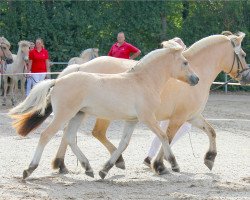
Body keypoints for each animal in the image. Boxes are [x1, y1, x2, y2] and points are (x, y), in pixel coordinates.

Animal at [8, 41, 198, 179]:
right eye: (185, 62)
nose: (196, 79)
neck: (143, 81)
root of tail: (58, 81)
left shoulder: (132, 121)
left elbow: (123, 144)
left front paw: (105, 169)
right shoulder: (148, 118)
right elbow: (164, 136)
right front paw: (172, 165)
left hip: (78, 114)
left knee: (70, 137)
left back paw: (88, 168)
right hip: (64, 114)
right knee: (46, 135)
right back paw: (29, 169)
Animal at [49, 31, 249, 175]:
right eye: (243, 54)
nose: (246, 77)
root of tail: (80, 67)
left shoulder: (192, 116)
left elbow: (211, 131)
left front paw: (210, 158)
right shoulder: (179, 117)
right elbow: (167, 137)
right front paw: (161, 164)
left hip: (84, 111)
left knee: (70, 132)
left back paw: (63, 165)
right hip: (93, 112)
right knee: (89, 132)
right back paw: (112, 161)